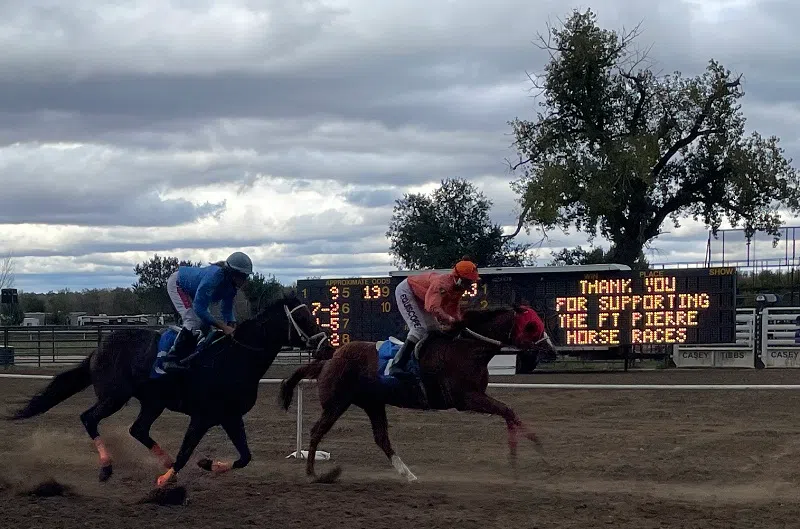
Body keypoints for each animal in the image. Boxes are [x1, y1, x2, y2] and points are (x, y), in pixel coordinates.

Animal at [8, 293, 329, 488]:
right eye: (303, 318)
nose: (326, 346)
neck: (234, 358)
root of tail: (98, 349)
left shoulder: (230, 416)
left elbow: (244, 457)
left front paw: (208, 463)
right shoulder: (202, 416)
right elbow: (186, 452)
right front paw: (166, 479)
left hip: (152, 402)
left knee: (138, 429)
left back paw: (159, 459)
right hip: (114, 396)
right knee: (89, 418)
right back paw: (107, 467)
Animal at [278, 304, 557, 482]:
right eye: (531, 326)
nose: (552, 350)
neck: (468, 349)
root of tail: (330, 358)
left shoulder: (475, 396)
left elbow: (510, 414)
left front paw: (540, 457)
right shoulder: (467, 398)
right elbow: (507, 412)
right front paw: (523, 461)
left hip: (372, 403)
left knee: (381, 438)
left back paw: (408, 474)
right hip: (336, 403)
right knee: (317, 432)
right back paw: (314, 473)